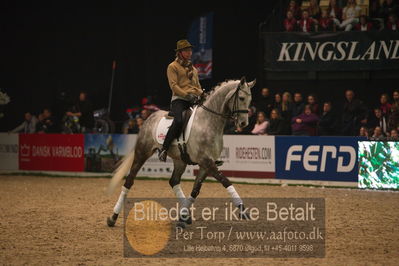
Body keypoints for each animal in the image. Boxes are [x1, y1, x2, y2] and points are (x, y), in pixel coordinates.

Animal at [107, 76, 256, 227]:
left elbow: (195, 191)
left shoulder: (206, 165)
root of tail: (149, 117)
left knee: (174, 181)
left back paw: (186, 216)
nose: (244, 124)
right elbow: (226, 181)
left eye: (250, 100)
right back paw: (113, 217)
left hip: (180, 160)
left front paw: (183, 217)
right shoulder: (206, 162)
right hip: (142, 153)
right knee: (129, 181)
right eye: (241, 98)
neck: (208, 123)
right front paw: (243, 211)